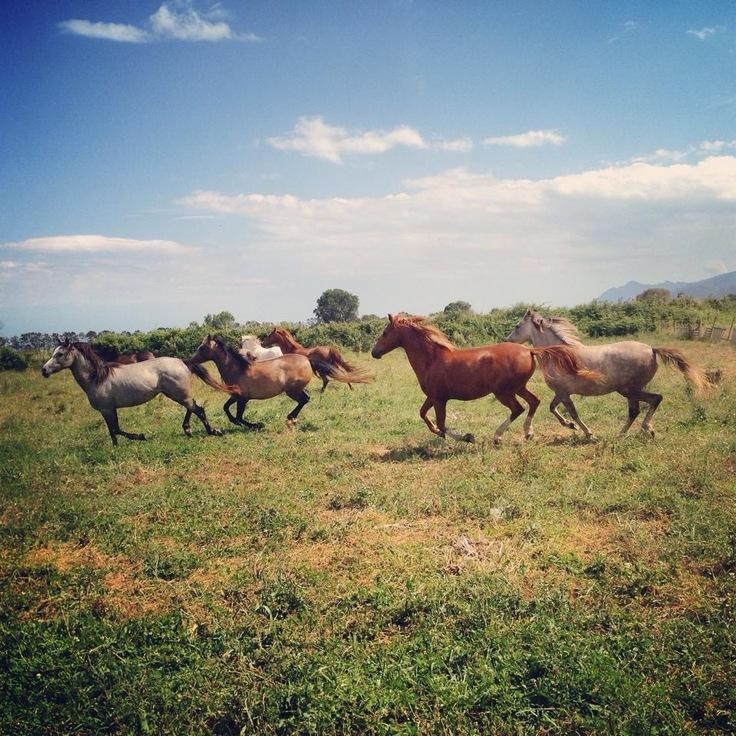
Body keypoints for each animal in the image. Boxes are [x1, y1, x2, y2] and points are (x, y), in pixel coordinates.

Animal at [41, 340, 239, 448]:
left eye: (60, 353)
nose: (44, 370)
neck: (97, 378)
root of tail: (182, 361)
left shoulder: (106, 409)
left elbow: (115, 429)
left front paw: (140, 437)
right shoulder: (109, 409)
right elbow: (113, 430)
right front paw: (115, 447)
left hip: (178, 394)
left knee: (198, 409)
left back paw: (211, 431)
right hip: (177, 394)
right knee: (193, 407)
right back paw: (188, 429)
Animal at [190, 334, 362, 428]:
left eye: (202, 348)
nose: (191, 360)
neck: (238, 369)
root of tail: (308, 360)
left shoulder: (243, 399)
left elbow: (238, 416)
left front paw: (256, 425)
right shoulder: (235, 396)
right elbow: (226, 409)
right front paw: (237, 422)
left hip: (292, 391)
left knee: (304, 400)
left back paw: (290, 417)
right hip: (296, 390)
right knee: (306, 399)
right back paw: (292, 418)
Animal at [368, 312, 600, 442]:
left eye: (385, 333)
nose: (374, 353)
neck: (432, 359)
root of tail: (529, 350)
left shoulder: (440, 399)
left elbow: (441, 423)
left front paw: (467, 437)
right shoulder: (433, 397)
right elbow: (424, 415)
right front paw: (438, 433)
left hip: (503, 392)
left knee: (518, 409)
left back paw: (498, 436)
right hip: (519, 387)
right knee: (534, 402)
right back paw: (529, 432)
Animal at [506, 310, 708, 436]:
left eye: (517, 326)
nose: (507, 340)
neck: (558, 355)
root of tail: (652, 349)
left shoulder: (564, 393)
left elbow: (572, 413)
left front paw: (587, 432)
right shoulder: (561, 392)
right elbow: (553, 409)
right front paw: (571, 426)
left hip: (630, 390)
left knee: (654, 399)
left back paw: (645, 429)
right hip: (631, 391)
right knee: (635, 410)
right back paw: (623, 434)